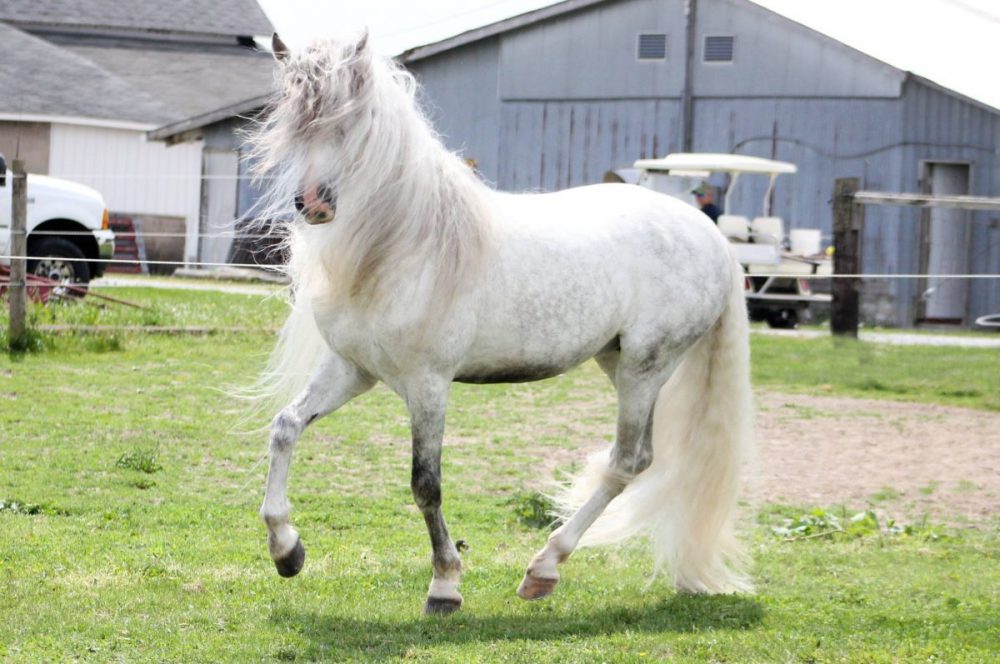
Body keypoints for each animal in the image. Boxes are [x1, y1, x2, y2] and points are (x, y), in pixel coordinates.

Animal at [246, 32, 754, 615]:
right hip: (617, 360)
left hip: (645, 370)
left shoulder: (428, 384)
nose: (313, 203)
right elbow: (286, 427)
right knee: (636, 458)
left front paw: (445, 585)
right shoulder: (353, 369)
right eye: (293, 123)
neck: (404, 244)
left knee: (628, 460)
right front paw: (286, 549)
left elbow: (426, 484)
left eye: (350, 124)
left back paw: (544, 568)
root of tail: (711, 234)